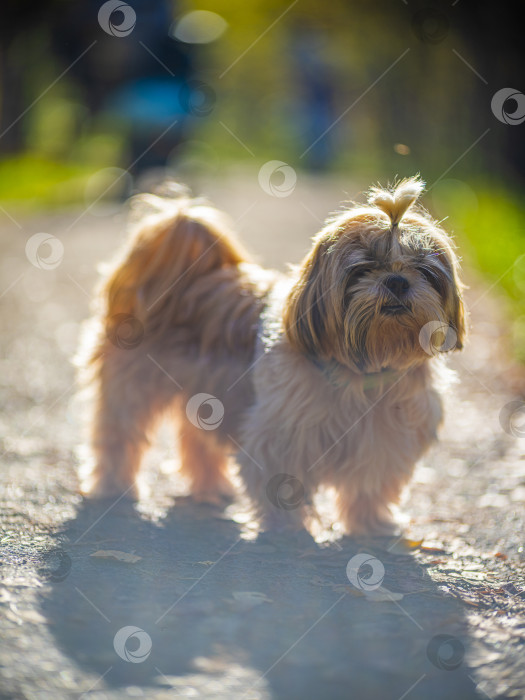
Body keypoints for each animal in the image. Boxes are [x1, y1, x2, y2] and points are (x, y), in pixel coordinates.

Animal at [77, 176, 462, 536]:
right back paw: (114, 488)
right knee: (118, 437)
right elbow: (282, 481)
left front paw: (371, 525)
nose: (397, 280)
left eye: (424, 271)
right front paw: (286, 528)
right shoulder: (281, 435)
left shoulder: (386, 441)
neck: (365, 369)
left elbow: (370, 486)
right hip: (132, 388)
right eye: (363, 268)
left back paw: (211, 489)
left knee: (196, 442)